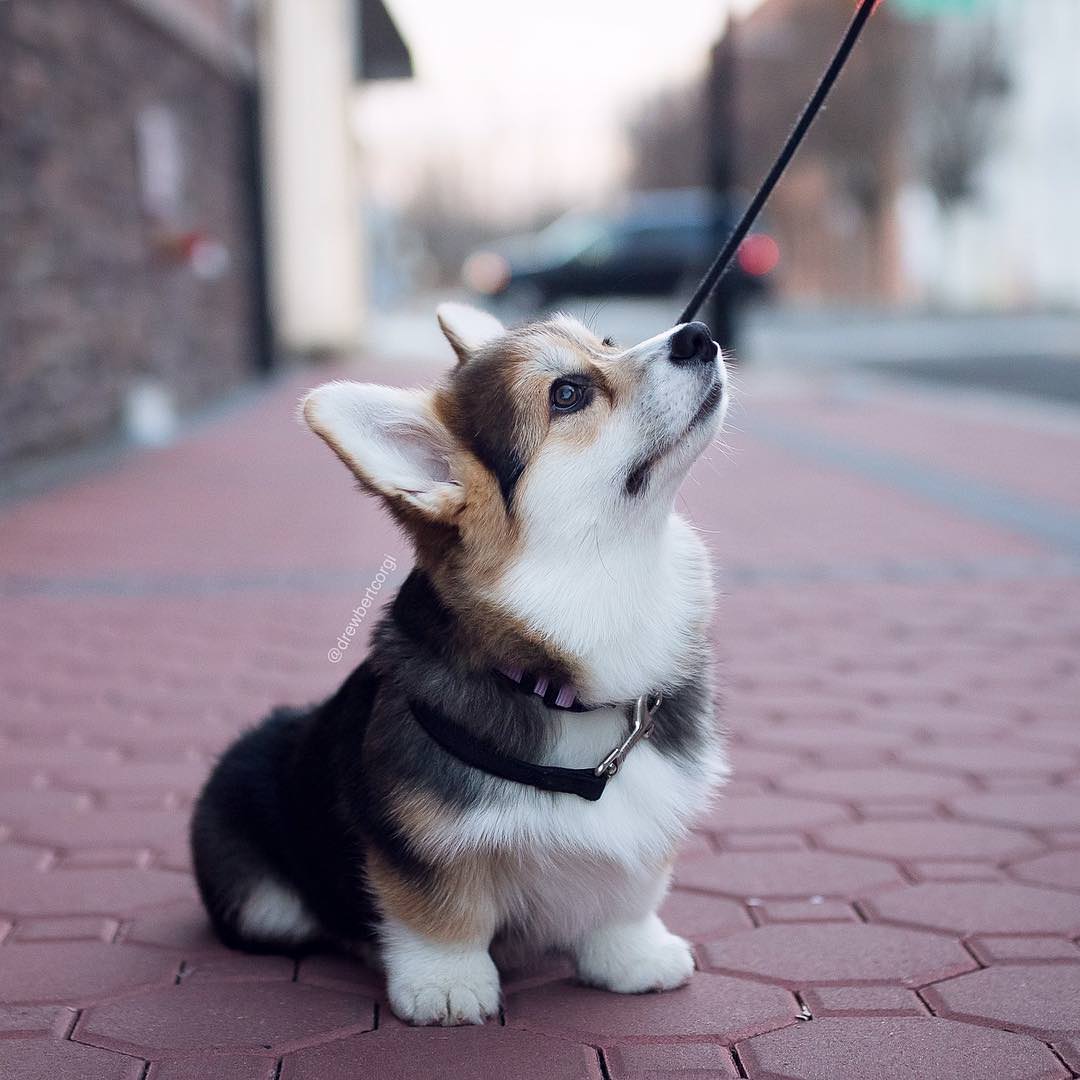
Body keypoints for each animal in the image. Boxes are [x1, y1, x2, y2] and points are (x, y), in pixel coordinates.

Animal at [192, 306, 734, 1028]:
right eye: (568, 394)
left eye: (608, 344)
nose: (698, 335)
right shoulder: (420, 840)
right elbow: (442, 914)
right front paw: (446, 987)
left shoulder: (647, 828)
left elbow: (626, 896)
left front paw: (635, 958)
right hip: (259, 899)